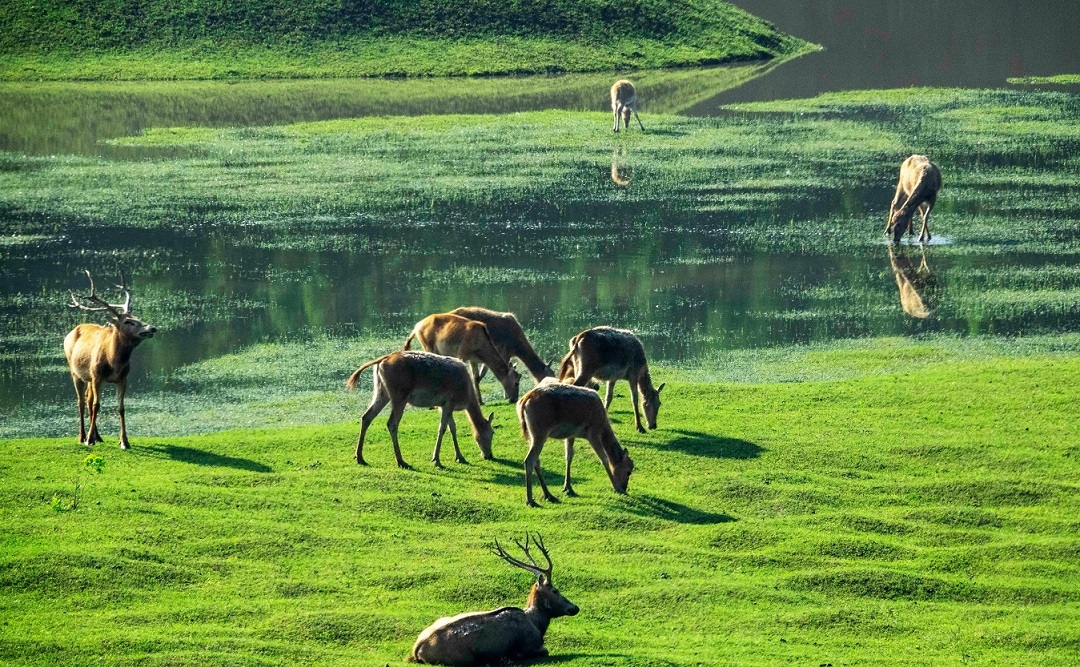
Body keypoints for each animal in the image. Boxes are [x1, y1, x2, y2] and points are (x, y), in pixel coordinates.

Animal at [63, 268, 157, 446]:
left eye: (138, 318)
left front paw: (124, 441)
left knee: (87, 399)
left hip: (88, 378)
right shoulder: (97, 376)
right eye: (128, 322)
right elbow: (97, 405)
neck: (114, 362)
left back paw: (97, 436)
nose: (152, 328)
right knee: (81, 402)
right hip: (75, 372)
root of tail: (70, 332)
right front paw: (89, 440)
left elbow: (121, 408)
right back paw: (82, 436)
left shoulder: (123, 378)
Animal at [410, 533, 583, 660]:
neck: (538, 623)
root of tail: (417, 649)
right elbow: (543, 651)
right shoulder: (530, 645)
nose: (575, 607)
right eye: (555, 590)